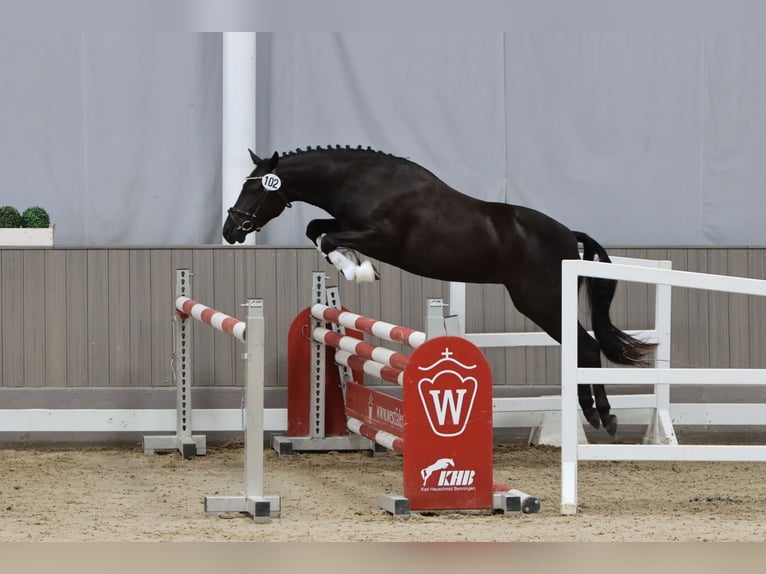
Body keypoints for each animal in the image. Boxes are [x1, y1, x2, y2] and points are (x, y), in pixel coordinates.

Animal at [220, 145, 656, 436]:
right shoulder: (347, 224)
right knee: (583, 349)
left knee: (587, 348)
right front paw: (356, 266)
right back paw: (597, 414)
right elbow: (318, 231)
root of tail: (569, 236)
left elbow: (327, 237)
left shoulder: (380, 236)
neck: (366, 181)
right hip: (541, 304)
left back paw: (602, 416)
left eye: (254, 190)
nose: (231, 230)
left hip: (543, 303)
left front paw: (361, 270)